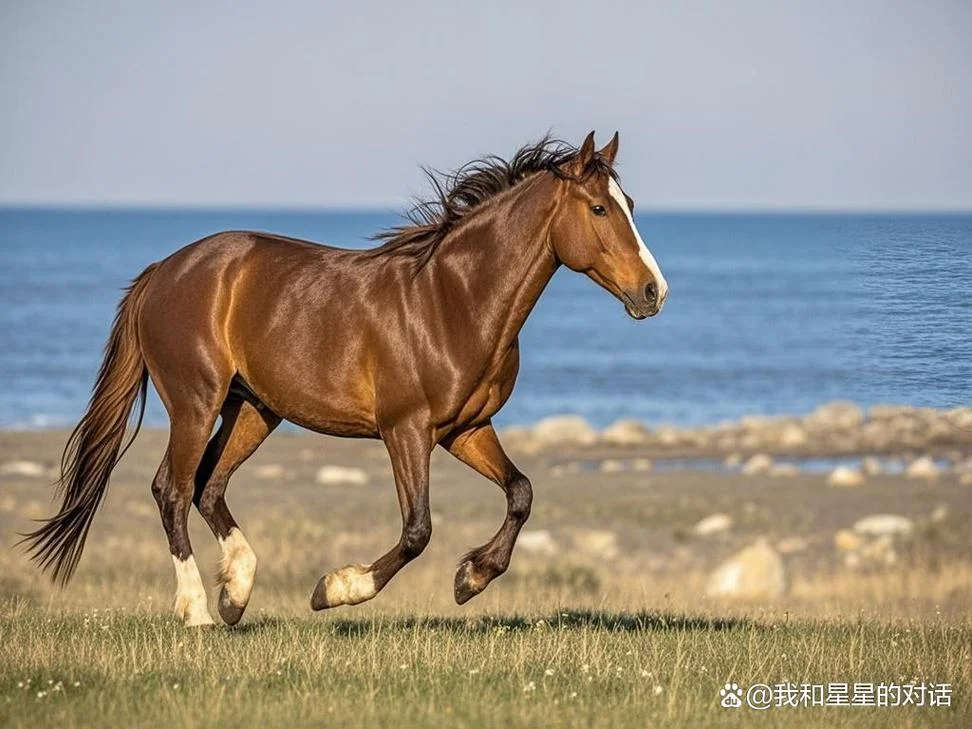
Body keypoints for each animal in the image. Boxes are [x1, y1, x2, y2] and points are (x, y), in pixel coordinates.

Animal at [23, 131, 668, 627]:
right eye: (601, 209)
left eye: (631, 202)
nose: (653, 292)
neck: (454, 301)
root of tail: (164, 271)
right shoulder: (405, 430)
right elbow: (417, 530)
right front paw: (335, 589)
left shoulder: (466, 429)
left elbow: (521, 493)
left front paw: (471, 577)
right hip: (196, 402)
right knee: (173, 490)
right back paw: (199, 611)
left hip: (254, 409)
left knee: (209, 486)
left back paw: (237, 594)